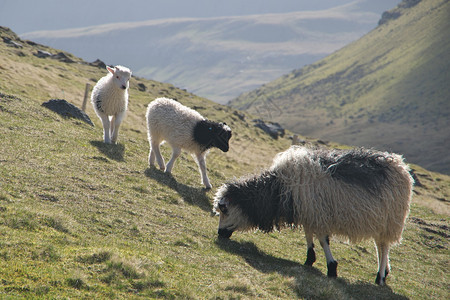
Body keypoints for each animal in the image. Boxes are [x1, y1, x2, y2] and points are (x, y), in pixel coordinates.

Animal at [214, 145, 414, 286]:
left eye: (225, 210)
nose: (219, 233)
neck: (279, 189)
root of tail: (401, 165)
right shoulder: (309, 213)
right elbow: (308, 235)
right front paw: (310, 259)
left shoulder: (318, 214)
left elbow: (323, 240)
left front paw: (331, 268)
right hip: (380, 220)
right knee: (380, 246)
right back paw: (385, 271)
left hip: (390, 219)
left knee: (384, 247)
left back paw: (380, 277)